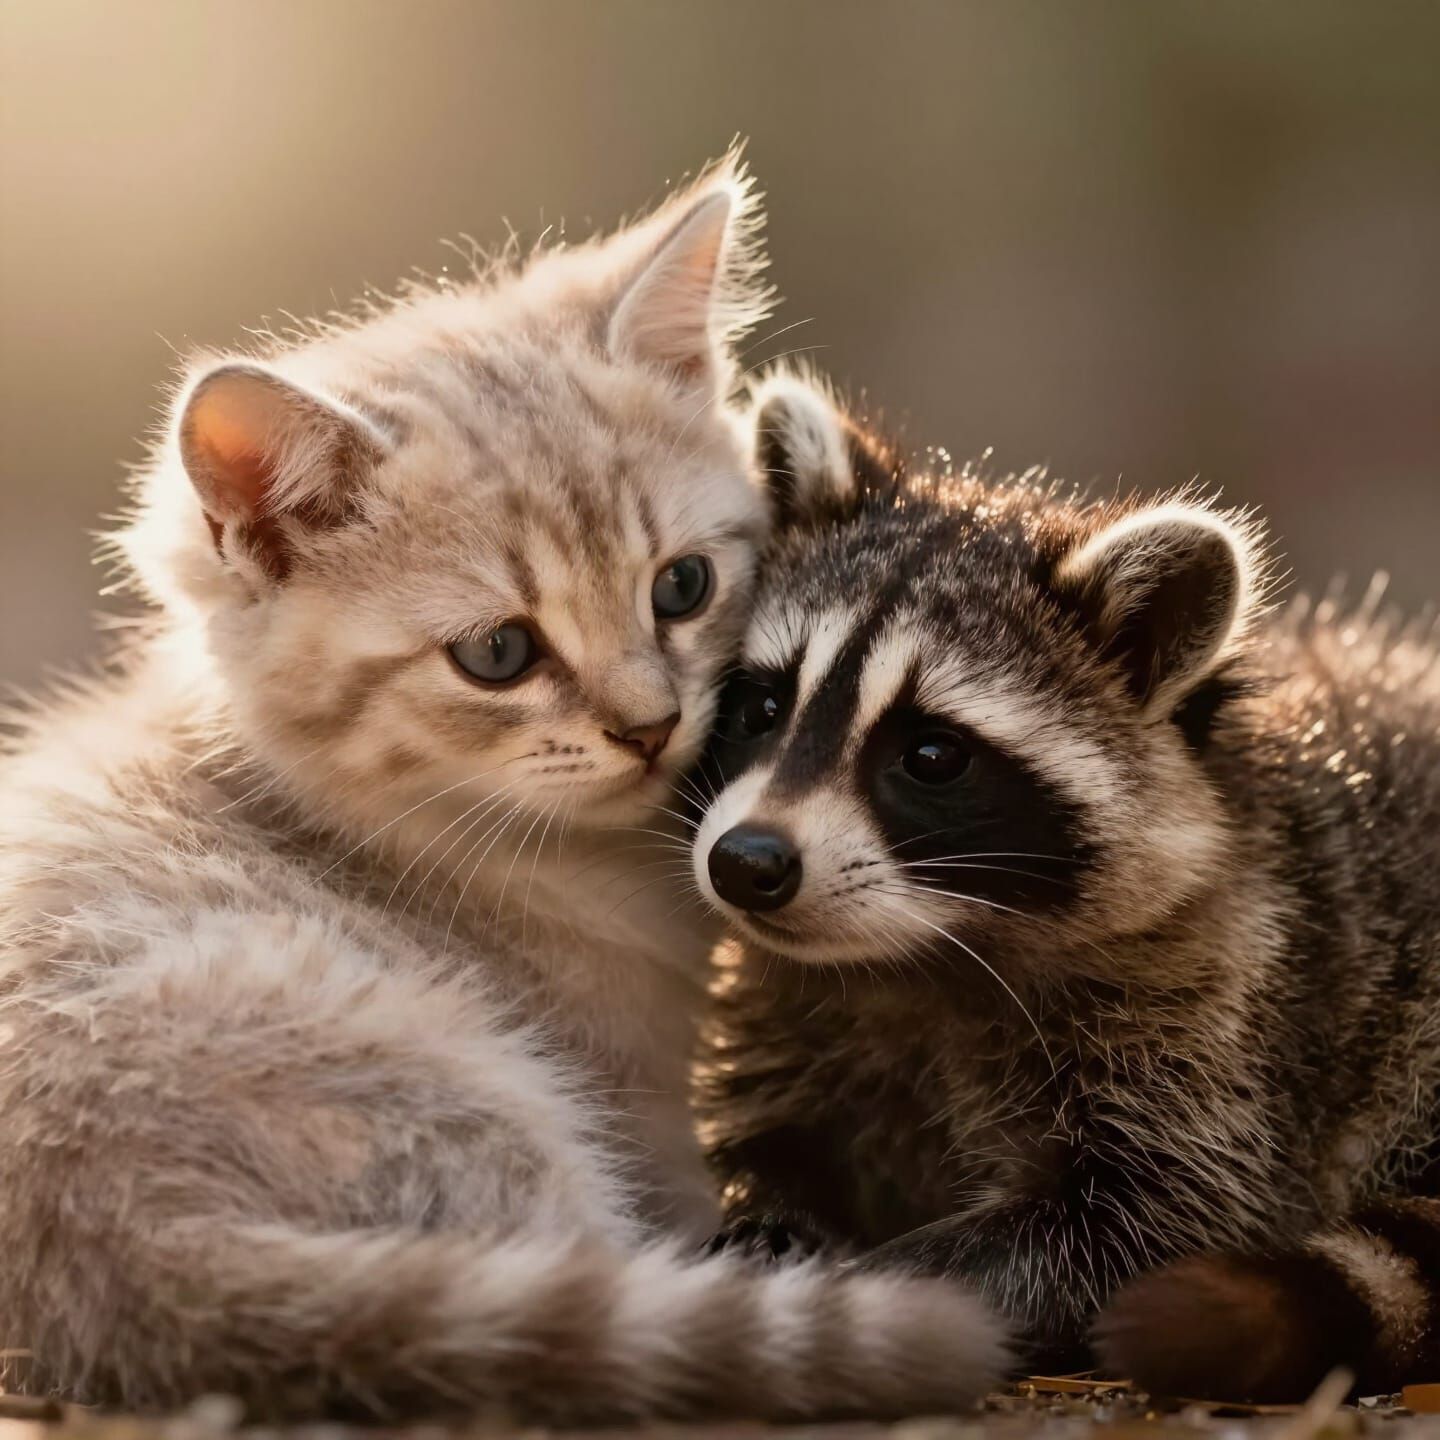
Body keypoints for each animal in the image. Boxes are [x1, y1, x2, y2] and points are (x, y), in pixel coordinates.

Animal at [690, 374, 1440, 1401]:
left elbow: (1147, 1215)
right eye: (763, 706)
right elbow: (773, 1137)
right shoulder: (796, 1016)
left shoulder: (1235, 1016)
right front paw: (757, 1217)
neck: (926, 948)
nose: (748, 863)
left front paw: (879, 1284)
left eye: (933, 756)